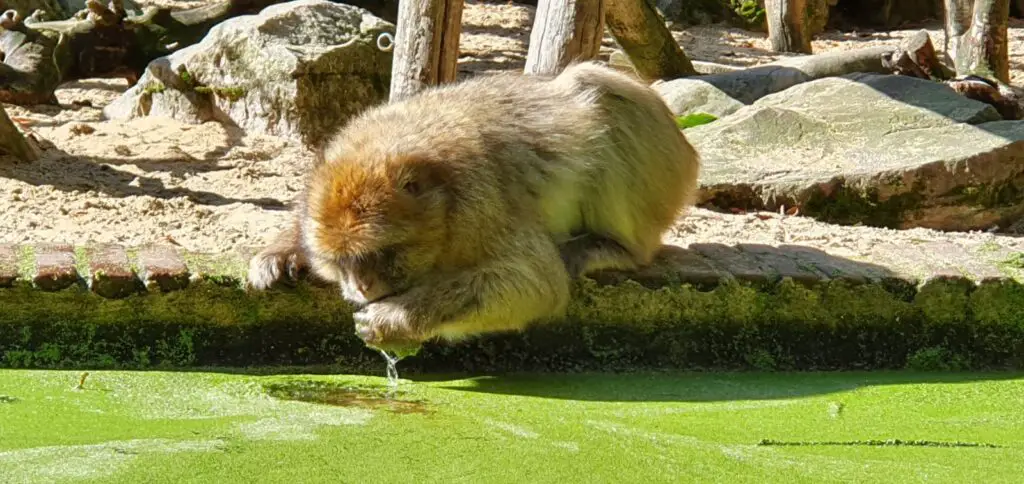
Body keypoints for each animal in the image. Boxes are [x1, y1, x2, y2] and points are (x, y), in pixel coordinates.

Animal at [247, 62, 700, 352]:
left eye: (380, 253)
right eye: (342, 261)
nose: (361, 287)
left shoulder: (480, 206)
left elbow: (534, 284)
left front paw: (393, 319)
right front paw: (282, 251)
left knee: (599, 87)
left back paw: (615, 247)